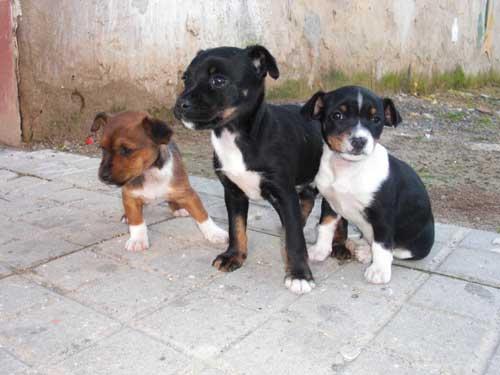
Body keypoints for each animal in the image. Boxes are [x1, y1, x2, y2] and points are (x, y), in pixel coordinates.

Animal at [92, 111, 229, 253]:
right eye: (102, 149)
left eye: (126, 150)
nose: (102, 176)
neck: (150, 173)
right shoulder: (130, 197)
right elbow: (136, 221)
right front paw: (137, 239)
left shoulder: (188, 193)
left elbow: (202, 214)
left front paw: (215, 233)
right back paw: (127, 216)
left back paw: (179, 209)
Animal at [176, 45, 328, 296]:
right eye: (186, 78)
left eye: (218, 80)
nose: (180, 104)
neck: (235, 135)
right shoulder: (233, 192)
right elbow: (236, 228)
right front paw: (234, 257)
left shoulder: (284, 192)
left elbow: (295, 239)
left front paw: (299, 274)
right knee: (306, 200)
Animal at [300, 86, 434, 284]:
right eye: (338, 115)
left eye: (376, 119)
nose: (359, 141)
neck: (348, 169)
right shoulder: (329, 203)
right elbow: (326, 226)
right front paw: (320, 250)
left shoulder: (383, 215)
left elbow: (383, 245)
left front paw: (379, 270)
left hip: (413, 245)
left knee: (394, 249)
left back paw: (368, 253)